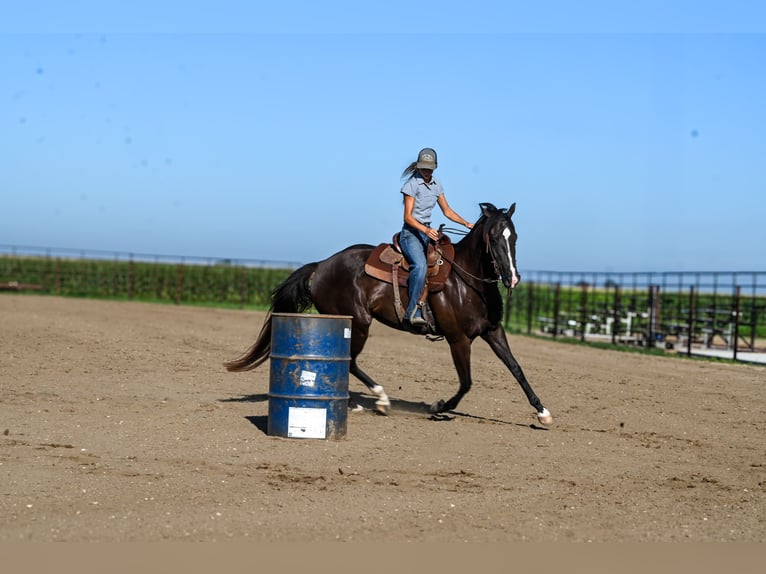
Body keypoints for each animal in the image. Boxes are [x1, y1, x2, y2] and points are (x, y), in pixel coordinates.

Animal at [225, 202, 552, 426]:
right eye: (494, 237)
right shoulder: (458, 339)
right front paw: (438, 406)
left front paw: (542, 411)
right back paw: (380, 400)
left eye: (514, 237)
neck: (467, 281)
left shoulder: (492, 331)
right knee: (352, 361)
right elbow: (467, 382)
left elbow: (517, 368)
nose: (512, 278)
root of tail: (322, 265)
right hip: (358, 323)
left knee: (350, 362)